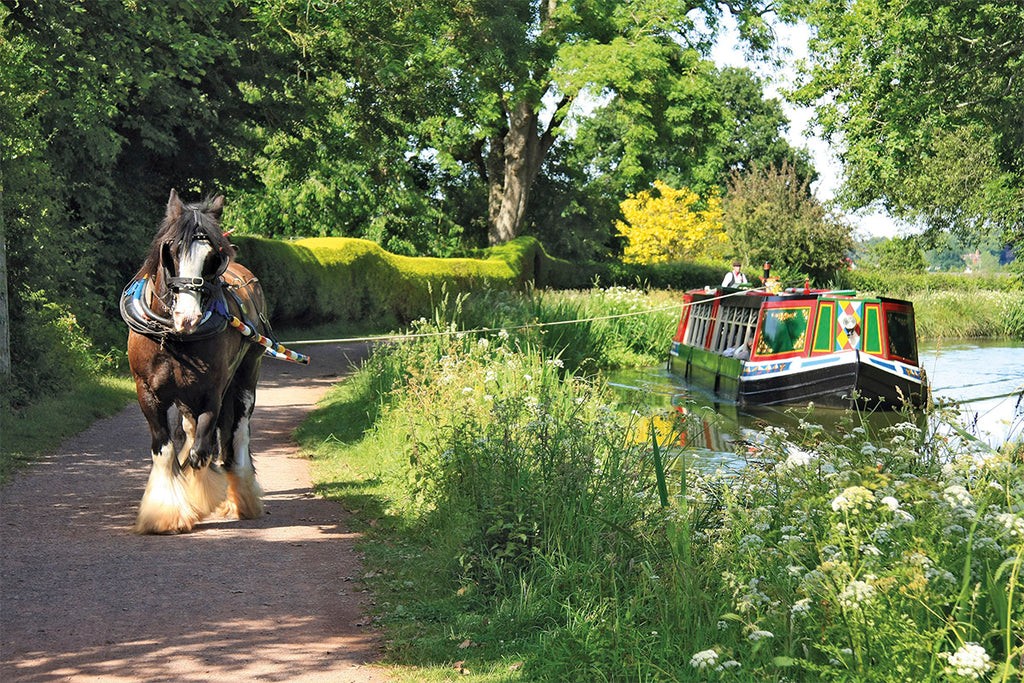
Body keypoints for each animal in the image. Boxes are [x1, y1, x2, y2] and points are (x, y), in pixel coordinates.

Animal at [124, 189, 270, 536]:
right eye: (171, 250)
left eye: (213, 256)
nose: (187, 318)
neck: (173, 338)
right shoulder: (147, 393)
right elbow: (166, 450)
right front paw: (166, 514)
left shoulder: (212, 390)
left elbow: (200, 452)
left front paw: (198, 496)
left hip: (246, 378)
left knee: (237, 432)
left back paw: (243, 496)